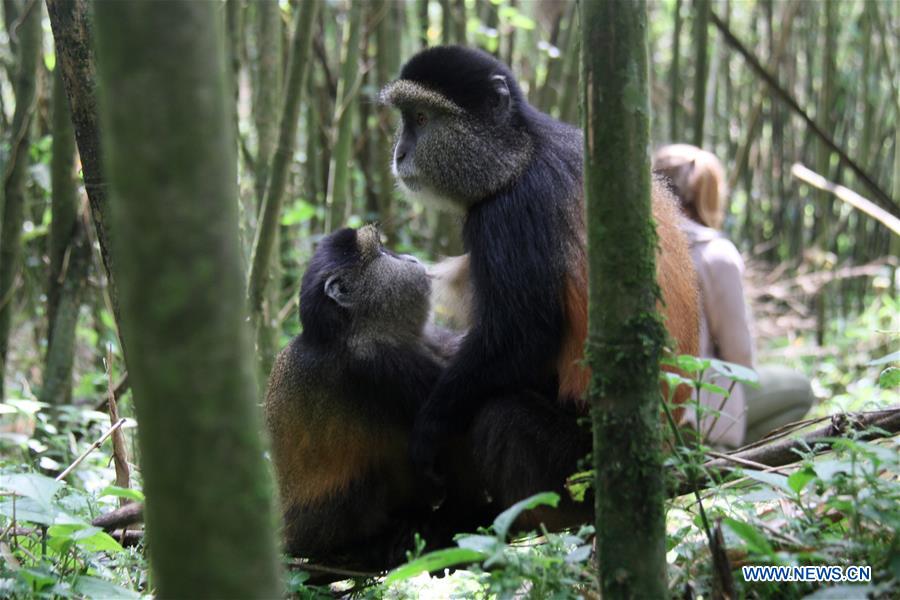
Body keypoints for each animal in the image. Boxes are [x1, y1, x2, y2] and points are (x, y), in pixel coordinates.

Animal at [378, 45, 696, 510]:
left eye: (421, 117)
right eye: (405, 117)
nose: (399, 153)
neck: (520, 152)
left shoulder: (509, 213)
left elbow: (524, 336)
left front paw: (429, 428)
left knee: (503, 416)